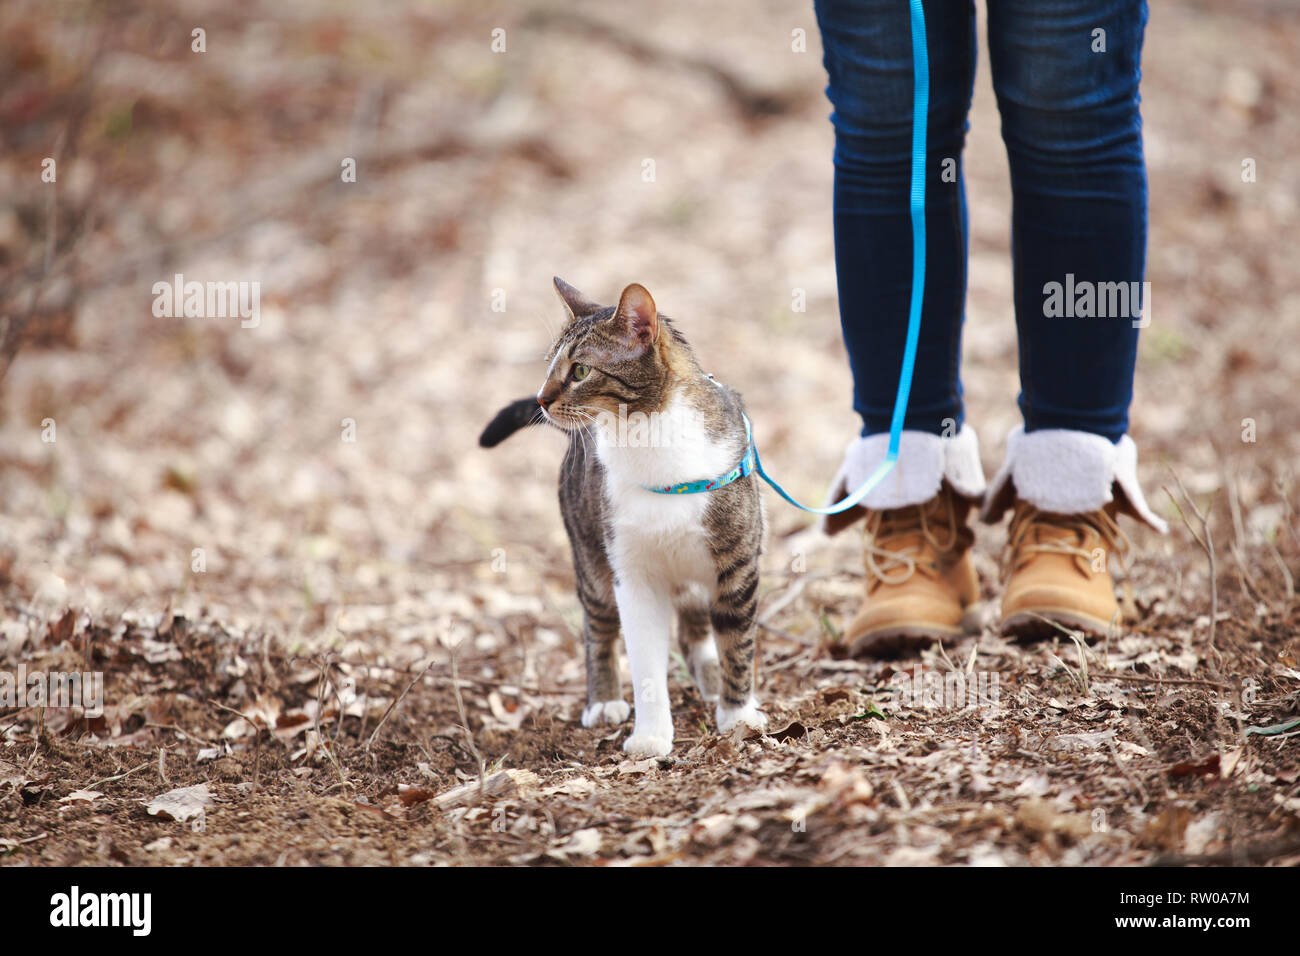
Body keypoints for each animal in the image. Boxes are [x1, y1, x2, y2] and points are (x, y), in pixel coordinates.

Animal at [483, 277, 764, 754]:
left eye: (580, 371)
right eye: (549, 365)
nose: (540, 398)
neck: (651, 440)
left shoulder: (738, 564)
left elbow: (736, 642)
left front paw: (738, 714)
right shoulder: (631, 575)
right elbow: (644, 659)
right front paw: (650, 738)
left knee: (695, 627)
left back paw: (710, 680)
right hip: (590, 553)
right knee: (597, 625)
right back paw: (603, 701)